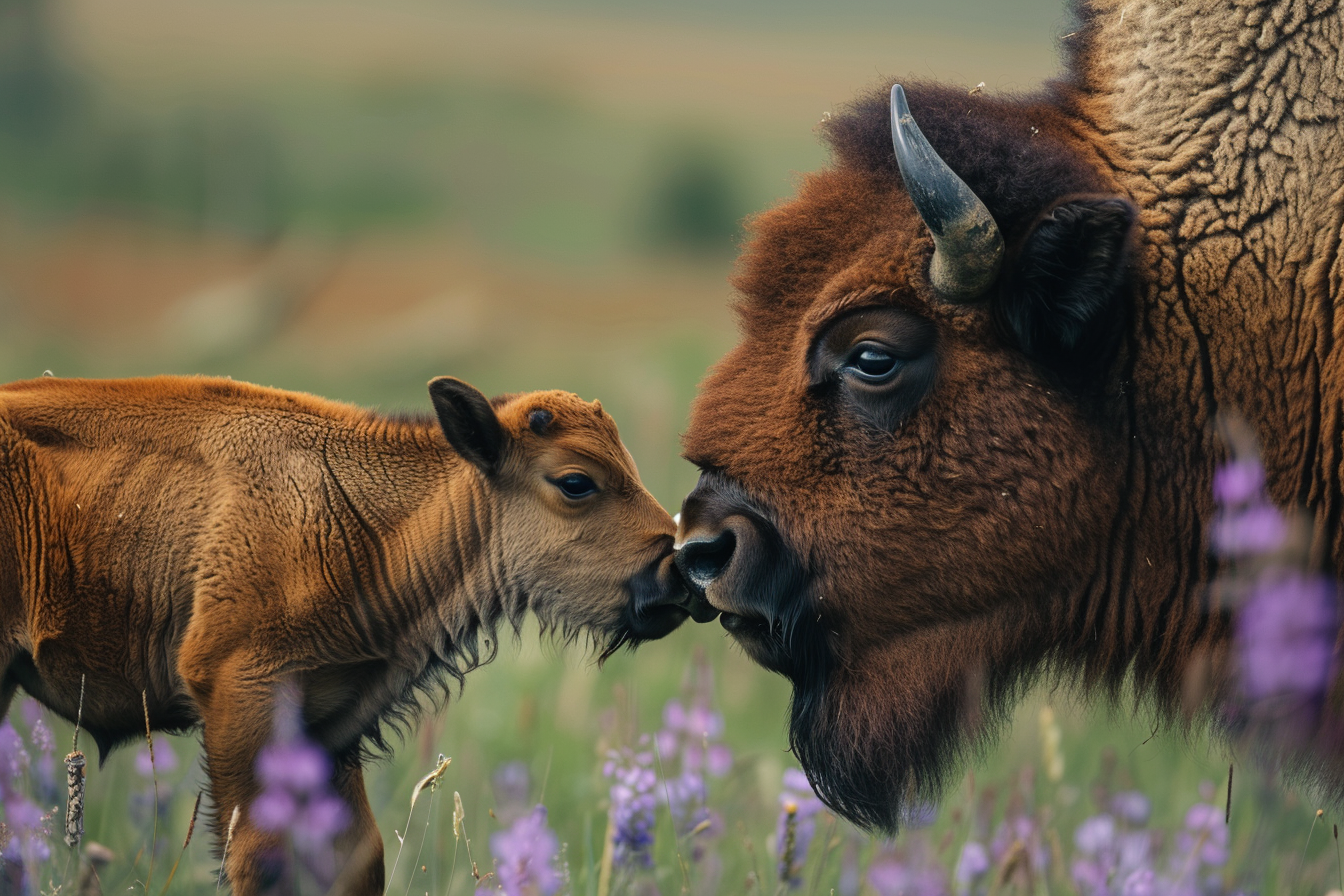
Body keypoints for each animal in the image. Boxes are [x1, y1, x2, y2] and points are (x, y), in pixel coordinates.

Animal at [0, 374, 698, 894]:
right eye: (576, 481)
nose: (678, 571)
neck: (364, 527)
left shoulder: (334, 731)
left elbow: (356, 860)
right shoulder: (238, 699)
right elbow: (257, 858)